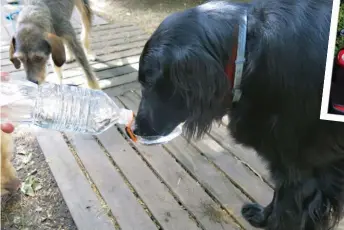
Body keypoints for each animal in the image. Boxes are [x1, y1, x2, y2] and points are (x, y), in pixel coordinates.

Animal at [133, 0, 344, 229]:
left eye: (149, 82)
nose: (134, 129)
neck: (248, 50)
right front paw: (263, 217)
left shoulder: (302, 174)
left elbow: (285, 212)